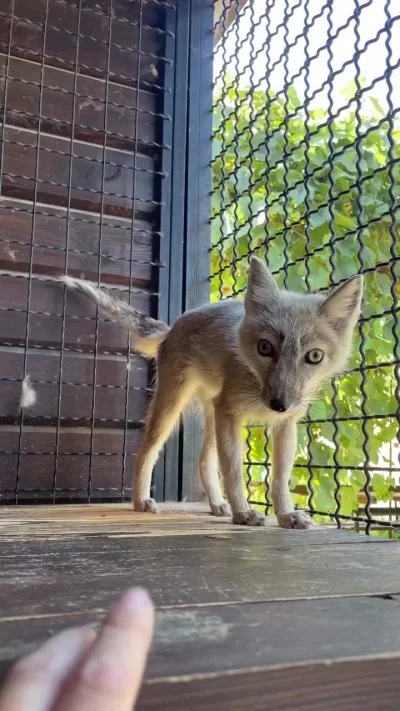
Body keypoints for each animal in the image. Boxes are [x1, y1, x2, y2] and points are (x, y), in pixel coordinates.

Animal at [60, 257, 363, 529]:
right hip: (172, 409)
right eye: (265, 347)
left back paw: (217, 504)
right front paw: (244, 514)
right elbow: (233, 472)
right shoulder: (230, 413)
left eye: (314, 356)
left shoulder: (283, 424)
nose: (279, 404)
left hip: (212, 415)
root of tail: (173, 326)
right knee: (147, 451)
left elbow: (278, 479)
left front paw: (286, 515)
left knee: (204, 461)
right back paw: (140, 501)